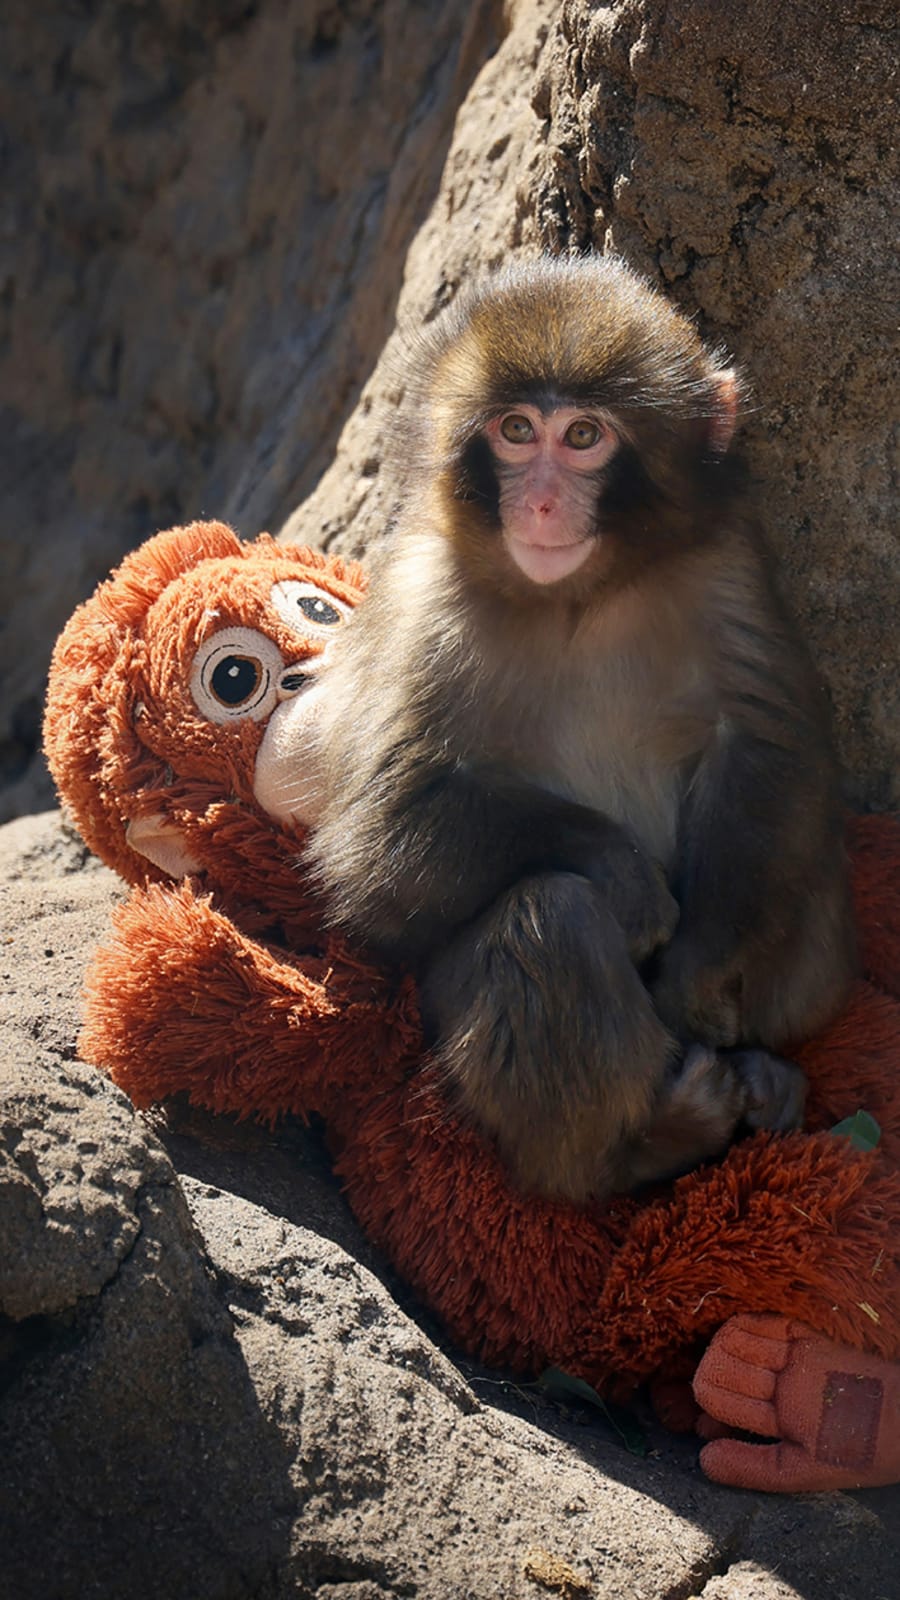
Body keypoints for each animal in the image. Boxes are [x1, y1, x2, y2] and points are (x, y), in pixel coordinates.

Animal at [297, 253, 855, 1204]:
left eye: (584, 436)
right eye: (518, 431)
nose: (544, 505)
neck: (579, 597)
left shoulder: (727, 561)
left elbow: (765, 746)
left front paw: (697, 974)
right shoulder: (422, 597)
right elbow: (381, 835)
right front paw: (625, 877)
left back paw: (765, 1070)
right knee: (550, 917)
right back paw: (643, 1145)